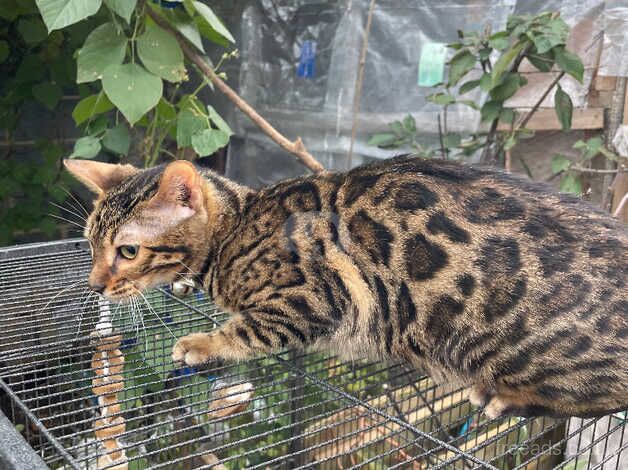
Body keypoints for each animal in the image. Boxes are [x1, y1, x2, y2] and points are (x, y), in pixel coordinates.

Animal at [65, 157, 628, 418]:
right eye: (90, 242)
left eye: (128, 252)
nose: (94, 285)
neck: (237, 229)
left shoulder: (308, 297)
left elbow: (247, 331)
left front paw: (203, 343)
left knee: (598, 396)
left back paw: (507, 398)